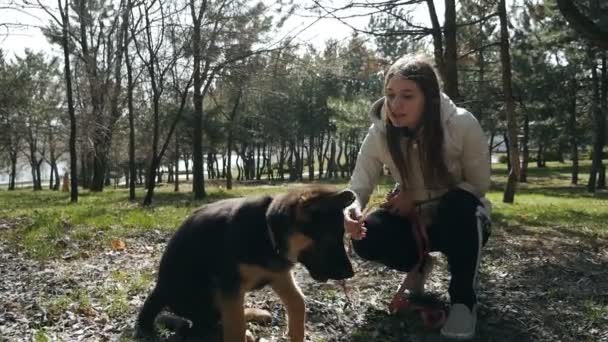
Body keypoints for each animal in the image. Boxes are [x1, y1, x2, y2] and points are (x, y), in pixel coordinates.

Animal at [137, 186, 356, 340]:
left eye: (342, 237)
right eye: (328, 239)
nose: (350, 274)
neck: (267, 232)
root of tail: (160, 291)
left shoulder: (279, 276)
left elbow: (298, 303)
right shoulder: (230, 286)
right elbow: (235, 328)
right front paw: (241, 332)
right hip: (203, 293)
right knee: (202, 325)